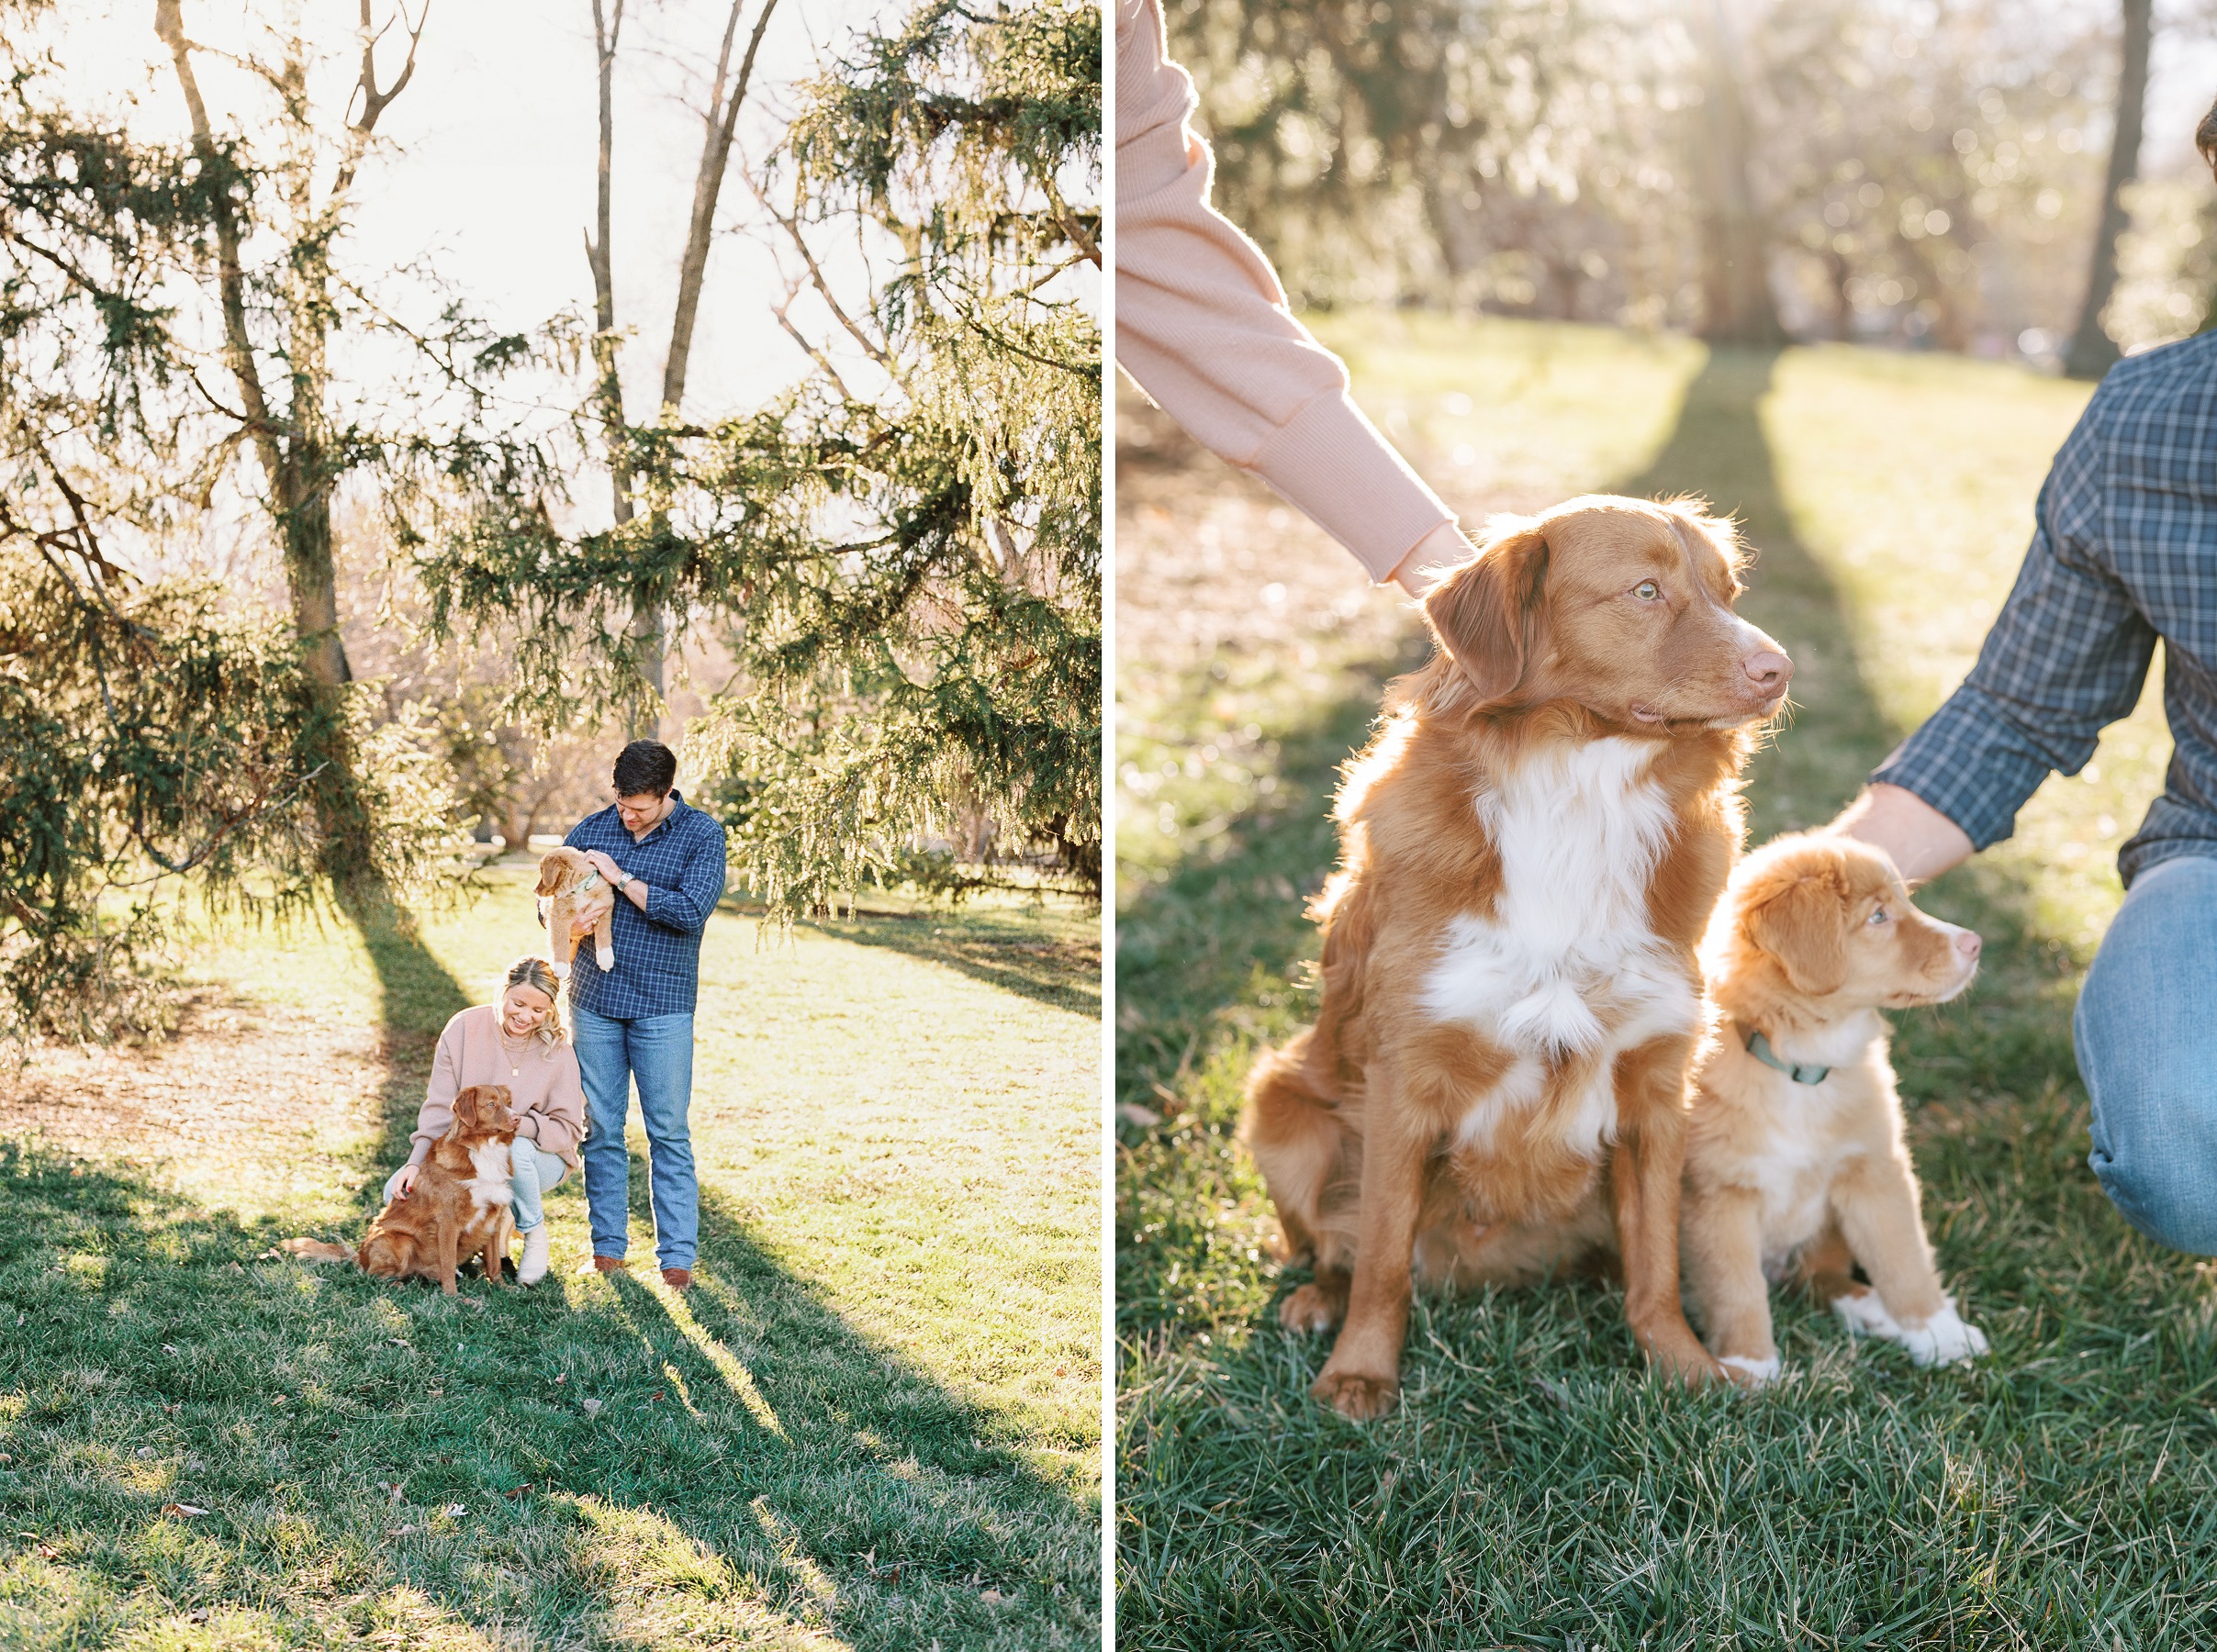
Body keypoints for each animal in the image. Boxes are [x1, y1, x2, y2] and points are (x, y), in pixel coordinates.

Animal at [281, 1090, 522, 1295]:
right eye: (491, 1104)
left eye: (509, 1102)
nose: (518, 1118)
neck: (485, 1149)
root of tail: (360, 1255)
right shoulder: (448, 1222)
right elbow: (447, 1263)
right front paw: (453, 1297)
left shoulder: (494, 1217)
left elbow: (494, 1262)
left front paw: (504, 1288)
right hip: (399, 1242)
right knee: (372, 1276)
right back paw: (398, 1284)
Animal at [545, 843, 625, 971]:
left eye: (542, 873)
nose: (534, 890)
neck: (581, 888)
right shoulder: (559, 917)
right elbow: (560, 941)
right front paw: (560, 966)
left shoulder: (604, 908)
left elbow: (604, 934)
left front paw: (606, 959)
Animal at [1241, 492, 1791, 1419]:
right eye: (1645, 591)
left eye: (1727, 591)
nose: (1778, 669)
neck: (1578, 787)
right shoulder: (1403, 1078)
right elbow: (1381, 1257)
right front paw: (1360, 1374)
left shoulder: (1657, 1086)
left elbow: (1655, 1265)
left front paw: (1681, 1367)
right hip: (1280, 1105)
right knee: (1334, 1244)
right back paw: (1316, 1299)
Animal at [1675, 824, 1995, 1374]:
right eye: (1878, 916)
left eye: (1904, 902)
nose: (1973, 943)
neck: (1804, 1067)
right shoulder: (1717, 1193)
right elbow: (1735, 1288)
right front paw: (1750, 1366)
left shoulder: (1874, 1171)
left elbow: (1904, 1259)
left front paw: (1939, 1332)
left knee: (1820, 1276)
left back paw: (1874, 1311)